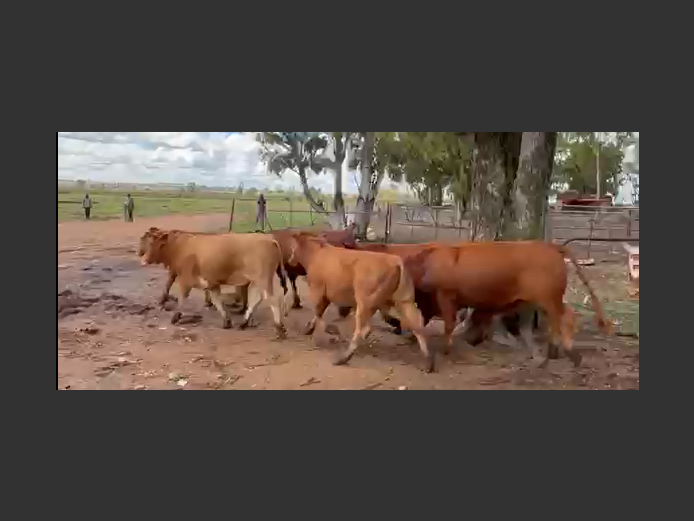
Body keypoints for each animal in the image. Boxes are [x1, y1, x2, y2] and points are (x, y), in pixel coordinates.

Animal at [139, 229, 289, 339]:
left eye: (153, 244)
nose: (143, 260)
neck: (180, 246)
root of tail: (269, 239)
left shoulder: (185, 280)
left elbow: (182, 298)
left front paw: (176, 316)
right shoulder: (212, 283)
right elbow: (217, 300)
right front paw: (227, 321)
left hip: (263, 279)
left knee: (272, 300)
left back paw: (279, 329)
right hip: (257, 280)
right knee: (256, 299)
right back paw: (244, 323)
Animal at [288, 232, 435, 373]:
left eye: (293, 248)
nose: (289, 261)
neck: (316, 252)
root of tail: (396, 262)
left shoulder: (318, 291)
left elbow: (318, 314)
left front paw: (328, 331)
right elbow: (318, 315)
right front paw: (309, 329)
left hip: (365, 303)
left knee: (360, 329)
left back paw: (344, 357)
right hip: (404, 302)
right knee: (417, 327)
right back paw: (428, 362)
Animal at [402, 241, 612, 367]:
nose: (399, 329)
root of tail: (548, 245)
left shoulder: (445, 296)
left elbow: (448, 323)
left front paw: (447, 349)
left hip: (547, 297)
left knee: (563, 317)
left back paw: (562, 351)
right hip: (544, 299)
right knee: (560, 316)